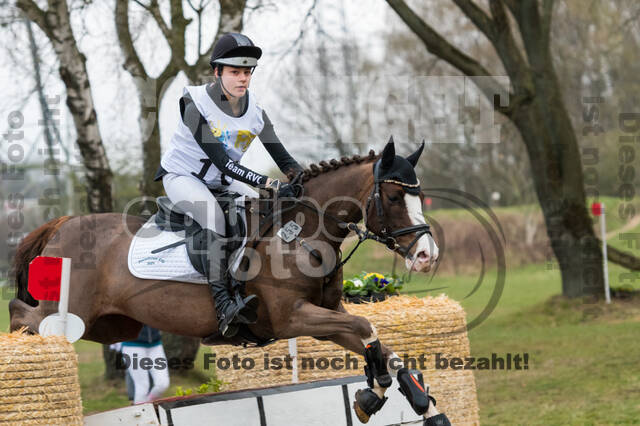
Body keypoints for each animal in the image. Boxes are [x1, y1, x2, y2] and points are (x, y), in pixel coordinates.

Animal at [10, 140, 442, 422]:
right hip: (68, 316)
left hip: (110, 324)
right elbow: (367, 327)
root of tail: (64, 223)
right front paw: (376, 389)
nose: (427, 255)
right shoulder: (292, 318)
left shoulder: (325, 318)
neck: (301, 232)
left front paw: (407, 399)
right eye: (392, 198)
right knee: (24, 315)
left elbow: (382, 347)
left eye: (420, 195)